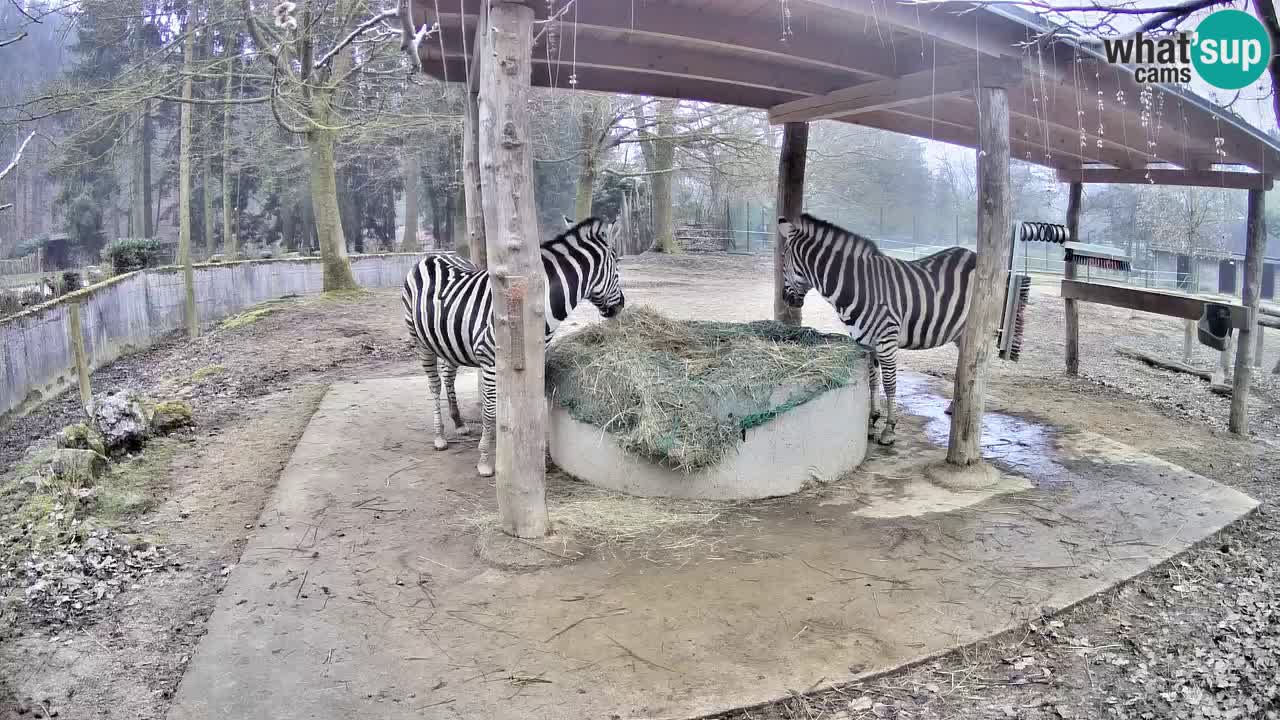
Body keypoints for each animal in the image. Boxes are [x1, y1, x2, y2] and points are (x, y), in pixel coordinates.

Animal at [396, 215, 622, 474]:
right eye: (617, 266)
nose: (620, 306)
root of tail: (432, 255)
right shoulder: (490, 360)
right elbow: (490, 409)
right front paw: (486, 459)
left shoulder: (535, 358)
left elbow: (527, 404)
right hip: (420, 341)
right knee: (434, 385)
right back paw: (439, 436)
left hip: (447, 341)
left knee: (448, 375)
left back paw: (459, 422)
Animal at [768, 211, 988, 443]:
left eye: (783, 257)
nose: (786, 299)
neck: (857, 286)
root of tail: (972, 254)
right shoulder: (866, 342)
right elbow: (872, 381)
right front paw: (872, 420)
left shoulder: (886, 340)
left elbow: (889, 383)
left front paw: (889, 428)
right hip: (961, 334)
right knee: (965, 368)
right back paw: (954, 407)